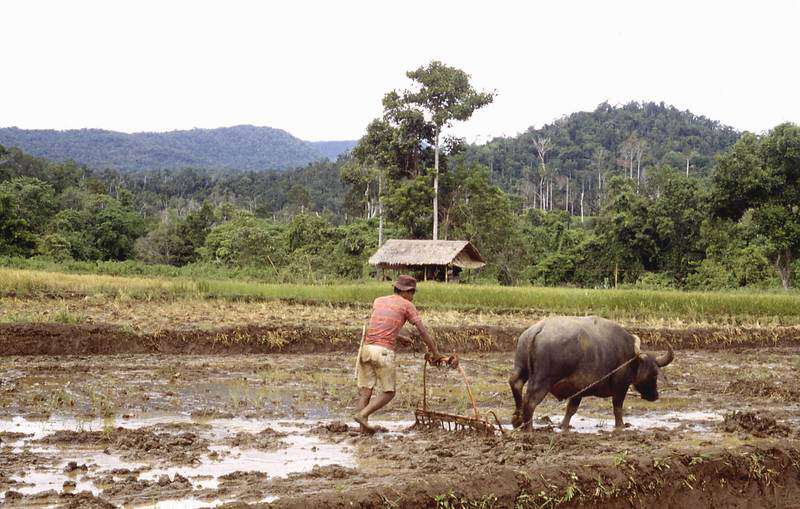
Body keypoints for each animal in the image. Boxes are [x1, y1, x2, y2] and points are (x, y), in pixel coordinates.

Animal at [510, 318, 672, 428]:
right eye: (654, 374)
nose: (655, 396)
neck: (630, 358)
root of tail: (538, 329)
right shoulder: (621, 386)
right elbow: (617, 408)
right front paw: (620, 426)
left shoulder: (577, 389)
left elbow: (571, 410)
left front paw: (564, 426)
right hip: (542, 380)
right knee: (530, 401)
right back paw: (528, 428)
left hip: (521, 367)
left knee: (515, 383)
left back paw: (516, 419)